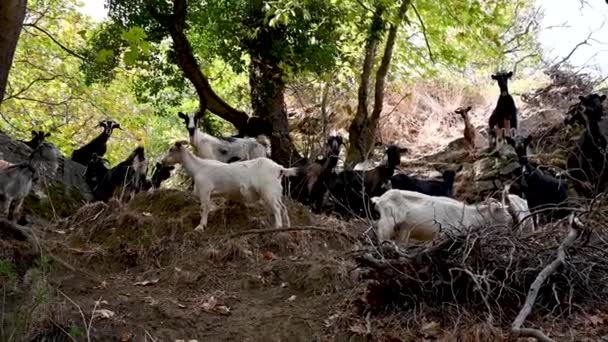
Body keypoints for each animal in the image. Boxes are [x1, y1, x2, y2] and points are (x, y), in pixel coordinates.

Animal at [160, 140, 296, 231]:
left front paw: (200, 226)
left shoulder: (205, 190)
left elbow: (204, 208)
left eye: (171, 149)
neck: (198, 167)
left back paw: (278, 226)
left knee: (277, 208)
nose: (162, 161)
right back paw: (287, 226)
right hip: (276, 191)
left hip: (268, 191)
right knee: (283, 207)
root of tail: (279, 168)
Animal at [370, 190, 512, 243]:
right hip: (387, 223)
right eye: (503, 212)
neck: (469, 215)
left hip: (403, 230)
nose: (510, 218)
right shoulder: (444, 234)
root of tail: (379, 199)